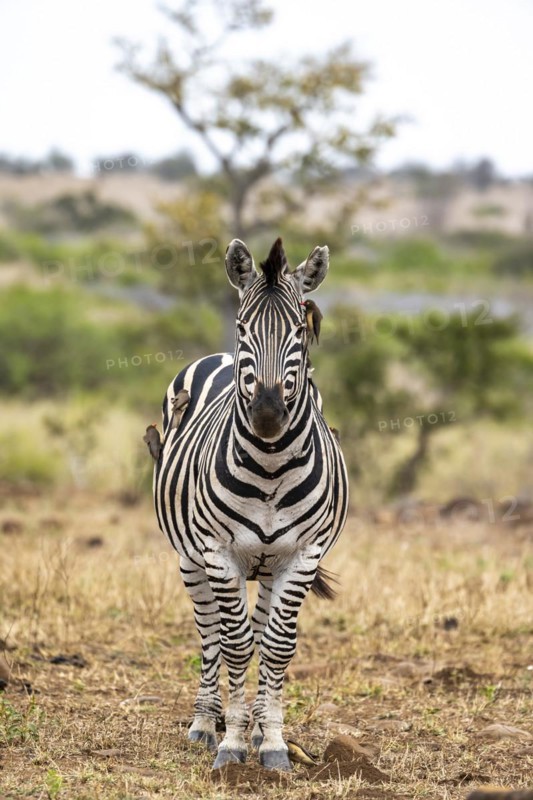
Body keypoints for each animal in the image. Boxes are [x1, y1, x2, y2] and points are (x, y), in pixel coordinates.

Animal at [153, 237, 348, 771]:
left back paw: (258, 725)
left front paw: (272, 741)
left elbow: (277, 645)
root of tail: (217, 356)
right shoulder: (219, 553)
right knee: (211, 633)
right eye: (243, 327)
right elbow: (235, 644)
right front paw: (232, 743)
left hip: (268, 565)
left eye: (299, 330)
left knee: (258, 630)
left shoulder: (303, 556)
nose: (266, 414)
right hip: (191, 558)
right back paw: (206, 723)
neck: (270, 467)